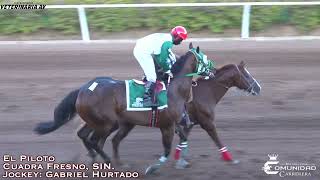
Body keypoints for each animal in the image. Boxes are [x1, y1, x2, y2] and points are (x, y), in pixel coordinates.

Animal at [34, 42, 212, 174]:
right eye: (204, 58)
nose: (213, 70)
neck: (173, 89)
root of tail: (83, 89)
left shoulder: (173, 123)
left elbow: (183, 137)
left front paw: (183, 162)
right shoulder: (166, 125)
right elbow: (167, 149)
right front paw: (152, 168)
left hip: (101, 122)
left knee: (88, 136)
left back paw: (100, 160)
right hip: (107, 123)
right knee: (95, 140)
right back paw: (107, 160)